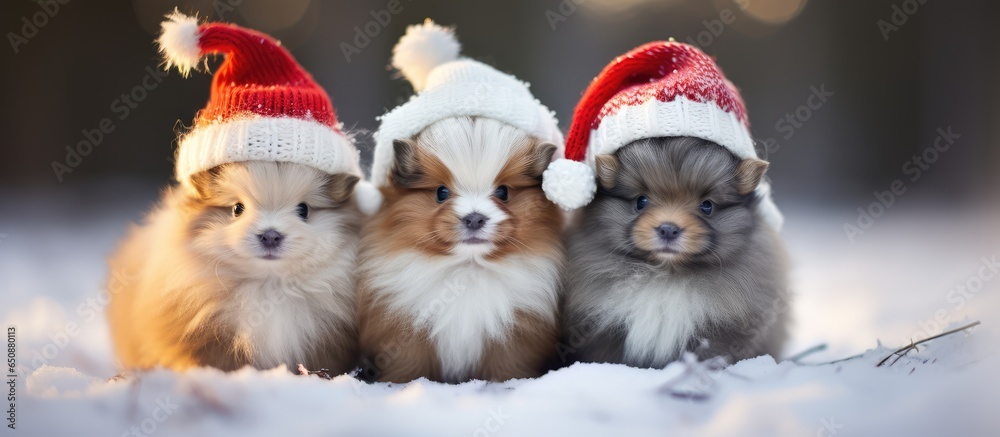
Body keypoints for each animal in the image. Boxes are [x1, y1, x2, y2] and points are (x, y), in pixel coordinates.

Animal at [358, 116, 564, 382]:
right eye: (441, 192)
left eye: (503, 192)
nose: (474, 218)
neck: (468, 267)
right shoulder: (406, 331)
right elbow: (410, 365)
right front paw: (407, 382)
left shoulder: (514, 336)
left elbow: (507, 366)